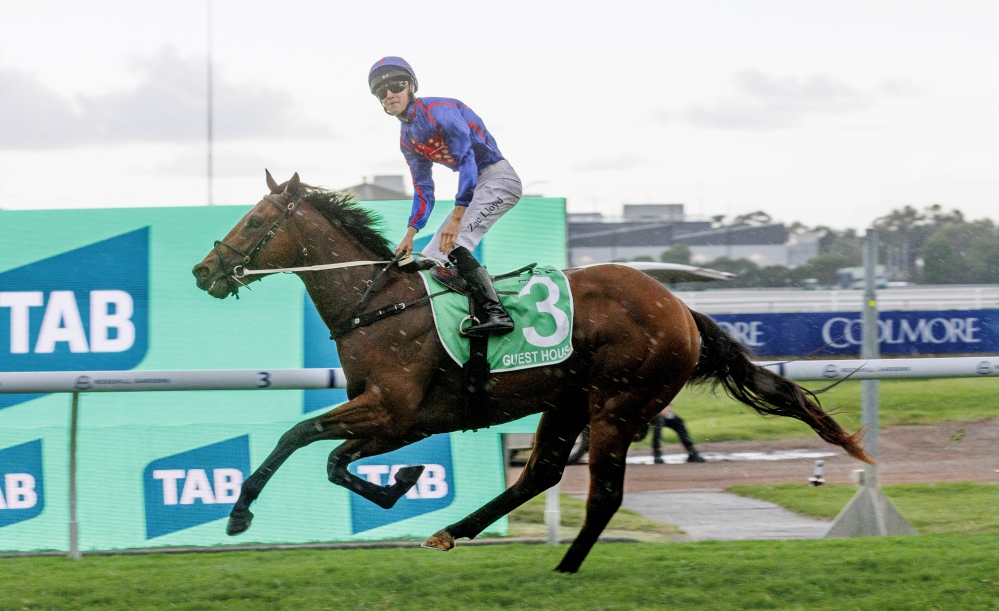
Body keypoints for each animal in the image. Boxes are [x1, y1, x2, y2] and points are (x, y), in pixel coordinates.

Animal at [192, 171, 871, 573]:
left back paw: (565, 567)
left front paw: (239, 512)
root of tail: (680, 308)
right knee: (540, 472)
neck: (379, 306)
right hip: (566, 401)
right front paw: (402, 482)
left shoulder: (393, 408)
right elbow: (334, 460)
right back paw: (453, 531)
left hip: (617, 406)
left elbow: (298, 436)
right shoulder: (405, 419)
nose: (203, 271)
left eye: (255, 222)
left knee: (603, 493)